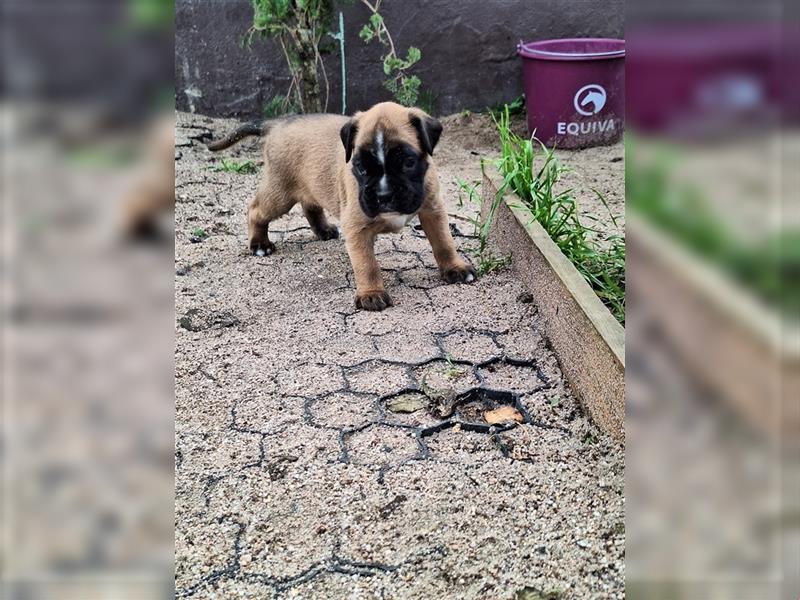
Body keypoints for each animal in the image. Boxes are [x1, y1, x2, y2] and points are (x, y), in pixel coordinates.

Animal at [209, 101, 478, 312]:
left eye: (408, 162)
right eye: (361, 167)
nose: (384, 195)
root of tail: (277, 124)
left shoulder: (433, 210)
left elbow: (444, 242)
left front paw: (454, 268)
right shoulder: (357, 227)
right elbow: (366, 265)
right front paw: (371, 293)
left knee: (310, 205)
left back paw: (323, 230)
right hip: (279, 195)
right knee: (255, 210)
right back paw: (259, 244)